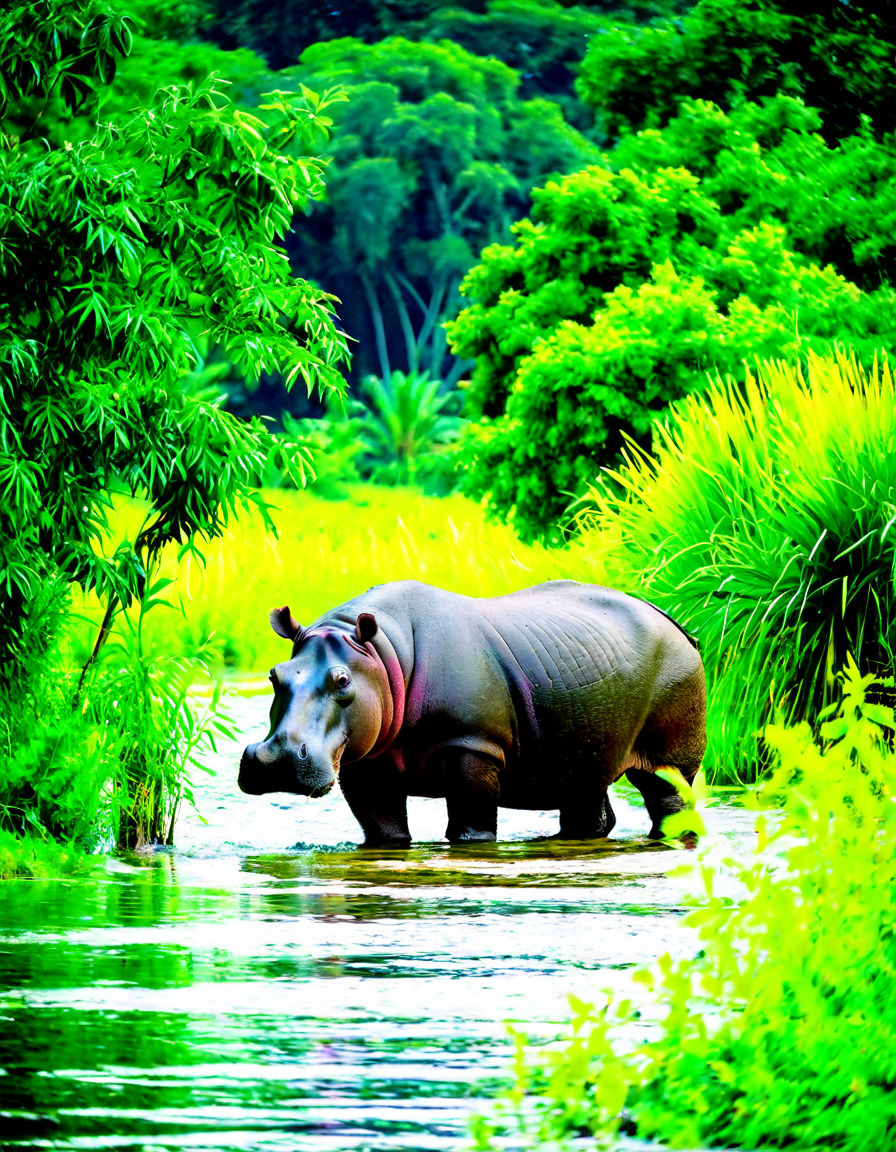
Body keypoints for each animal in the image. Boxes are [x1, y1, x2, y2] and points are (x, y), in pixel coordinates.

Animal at [239, 580, 706, 844]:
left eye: (342, 681)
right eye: (274, 676)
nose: (275, 759)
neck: (379, 655)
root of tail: (679, 626)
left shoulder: (473, 744)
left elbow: (471, 825)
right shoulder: (364, 761)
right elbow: (384, 830)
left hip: (673, 705)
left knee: (666, 792)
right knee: (586, 792)